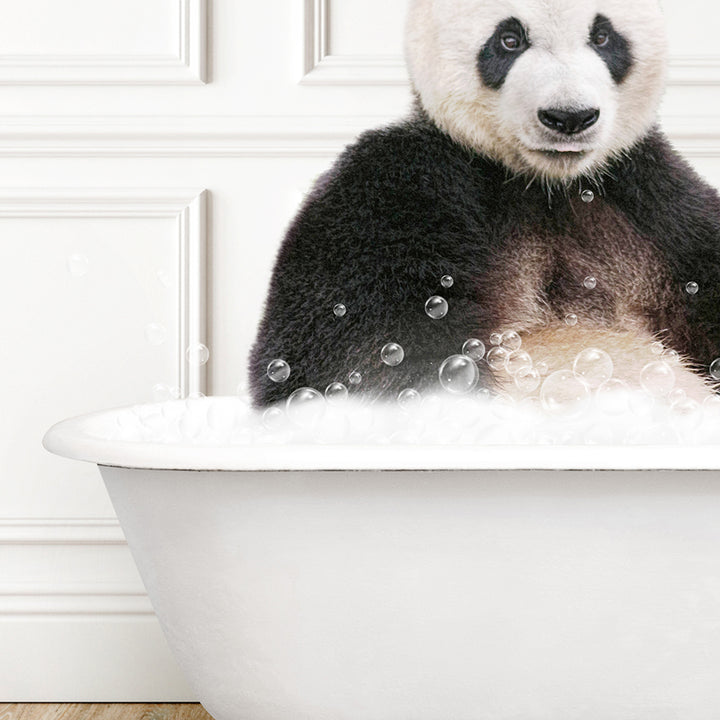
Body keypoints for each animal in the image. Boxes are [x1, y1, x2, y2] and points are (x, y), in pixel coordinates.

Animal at [249, 0, 720, 408]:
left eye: (603, 36)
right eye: (510, 40)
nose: (569, 117)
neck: (544, 185)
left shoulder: (654, 200)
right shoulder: (398, 192)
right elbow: (350, 356)